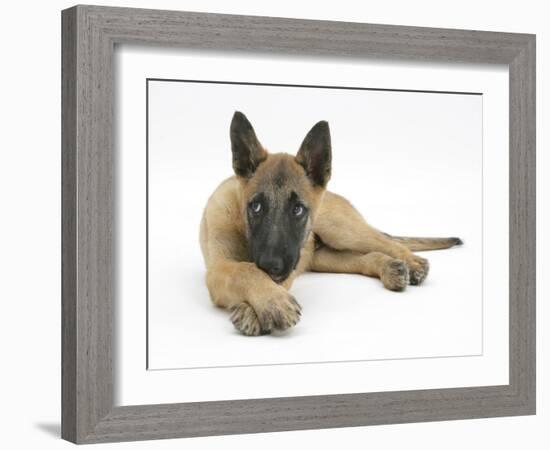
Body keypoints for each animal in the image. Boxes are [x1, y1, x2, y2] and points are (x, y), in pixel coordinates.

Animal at [201, 110, 464, 336]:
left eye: (297, 209)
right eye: (255, 207)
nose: (270, 265)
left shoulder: (288, 265)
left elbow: (252, 271)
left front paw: (260, 307)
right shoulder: (218, 269)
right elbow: (245, 270)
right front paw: (269, 301)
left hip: (340, 229)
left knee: (386, 241)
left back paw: (413, 262)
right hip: (324, 257)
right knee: (364, 258)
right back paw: (389, 268)